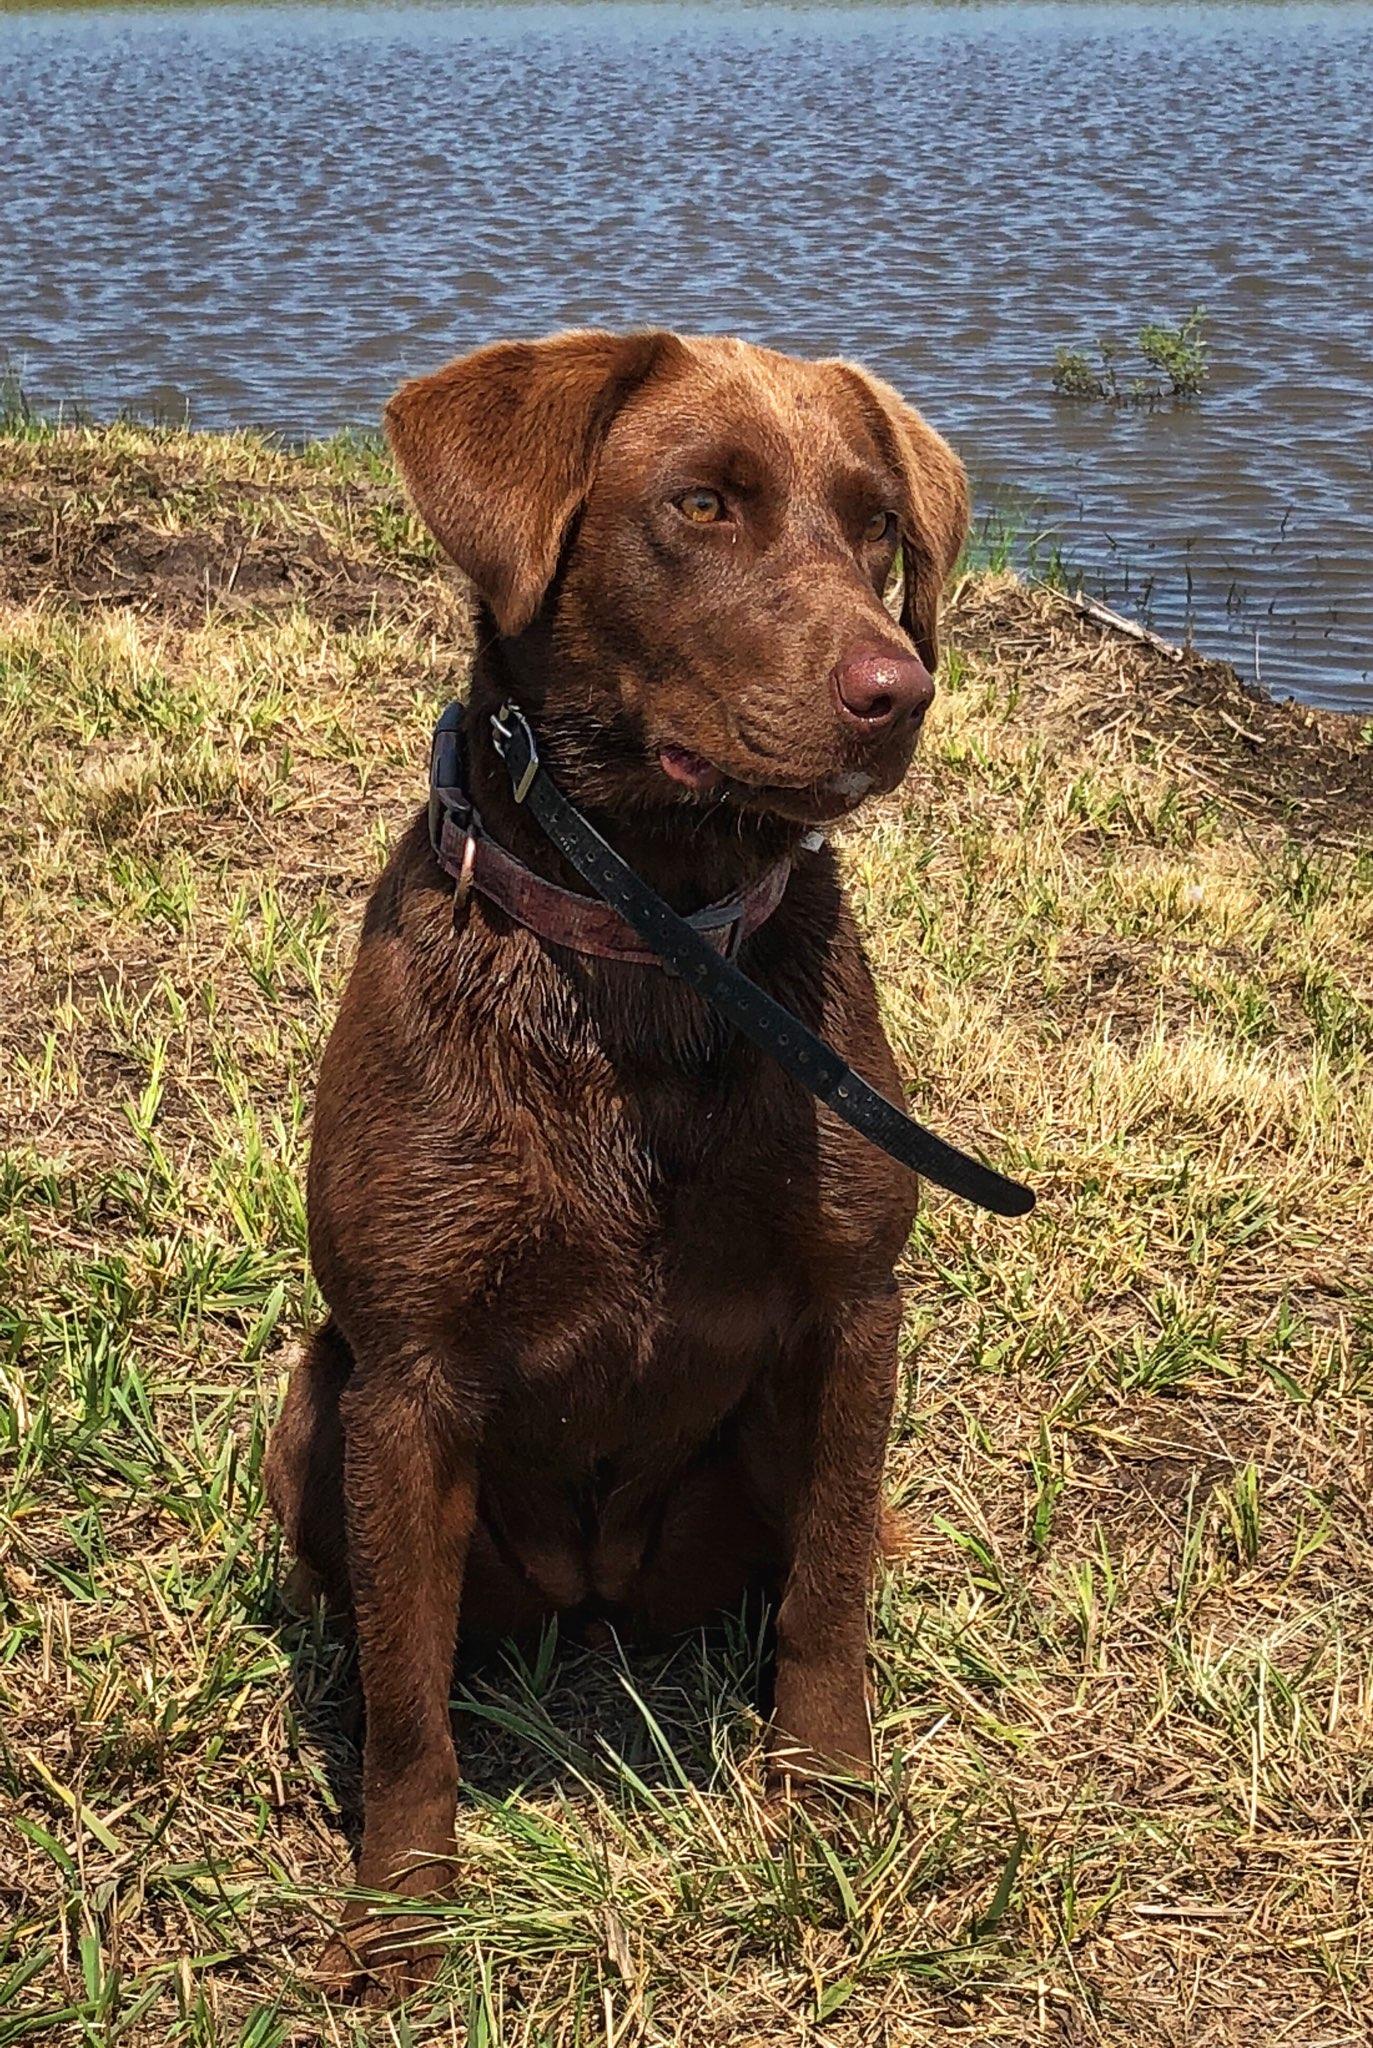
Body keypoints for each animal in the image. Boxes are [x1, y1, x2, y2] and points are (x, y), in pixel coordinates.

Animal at [264, 331, 975, 1998]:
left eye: (878, 532)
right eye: (700, 504)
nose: (896, 692)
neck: (651, 946)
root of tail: (595, 1592)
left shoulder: (854, 1312)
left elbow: (829, 1595)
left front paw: (826, 1798)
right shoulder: (408, 1375)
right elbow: (409, 1704)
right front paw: (403, 1908)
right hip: (313, 1401)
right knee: (369, 1610)